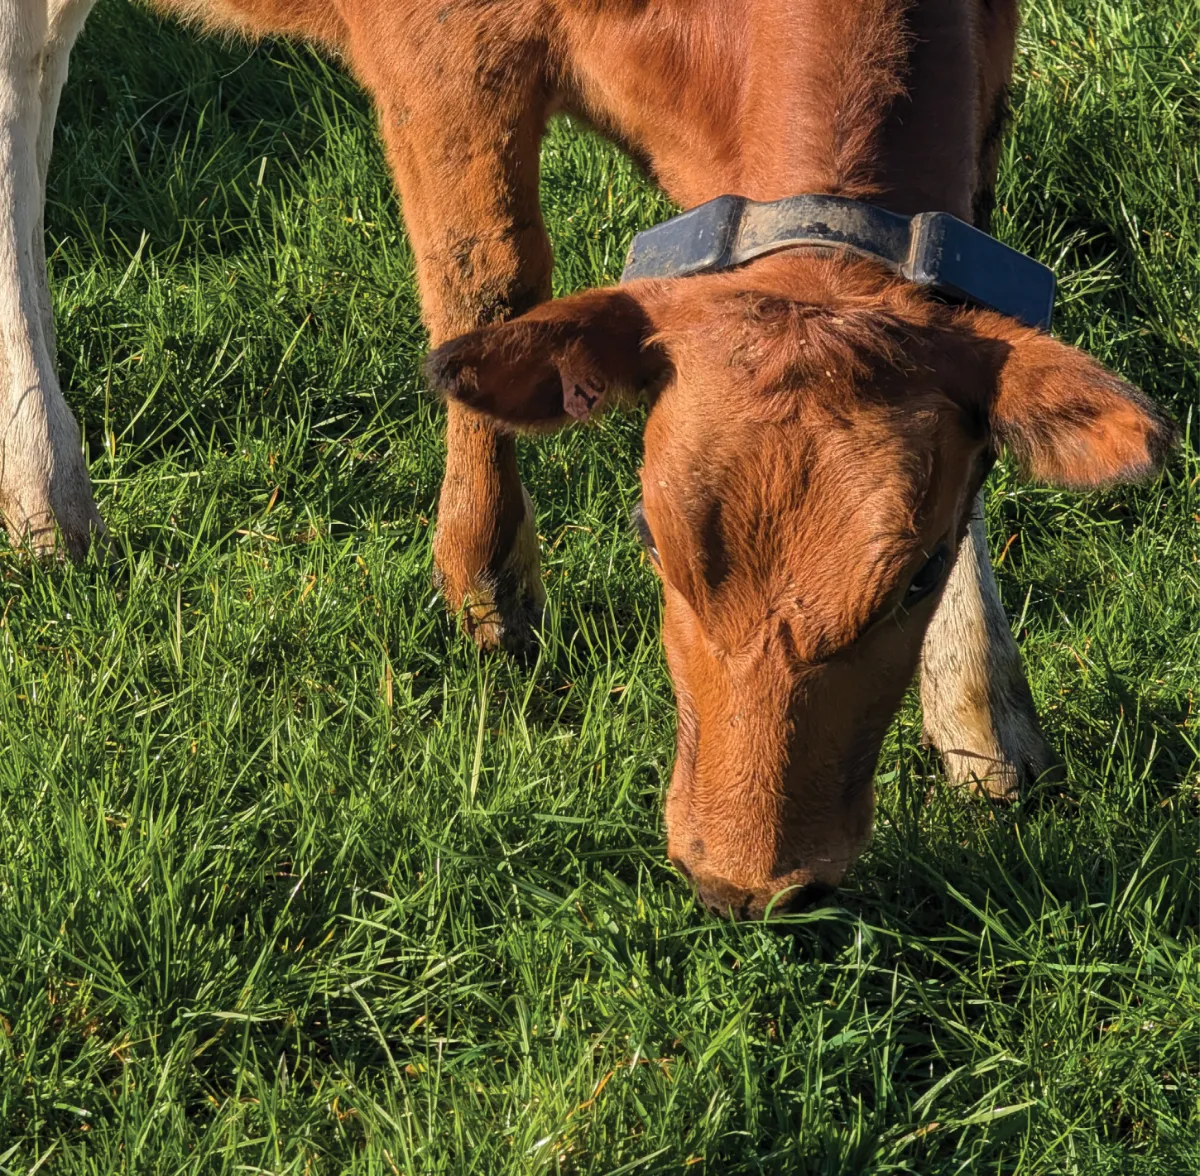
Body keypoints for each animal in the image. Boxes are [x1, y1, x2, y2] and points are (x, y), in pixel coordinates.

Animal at [1, 0, 1175, 917]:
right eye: (653, 546)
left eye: (914, 578)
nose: (746, 886)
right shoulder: (444, 51)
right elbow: (488, 286)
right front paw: (486, 579)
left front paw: (980, 709)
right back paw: (45, 488)